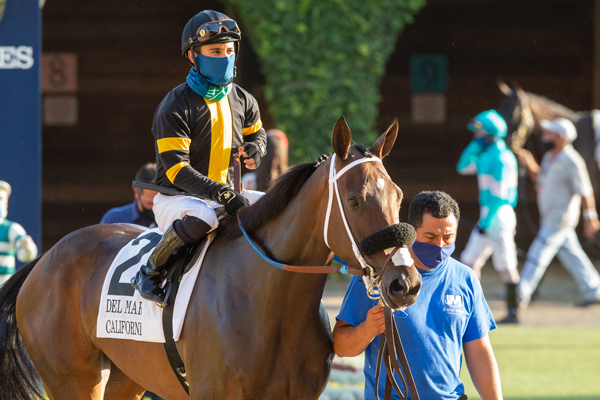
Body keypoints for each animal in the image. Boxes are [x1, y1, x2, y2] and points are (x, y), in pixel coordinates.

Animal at [0, 117, 422, 400]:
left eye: (399, 195)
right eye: (353, 200)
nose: (405, 283)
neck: (269, 301)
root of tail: (45, 259)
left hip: (126, 376)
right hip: (72, 379)